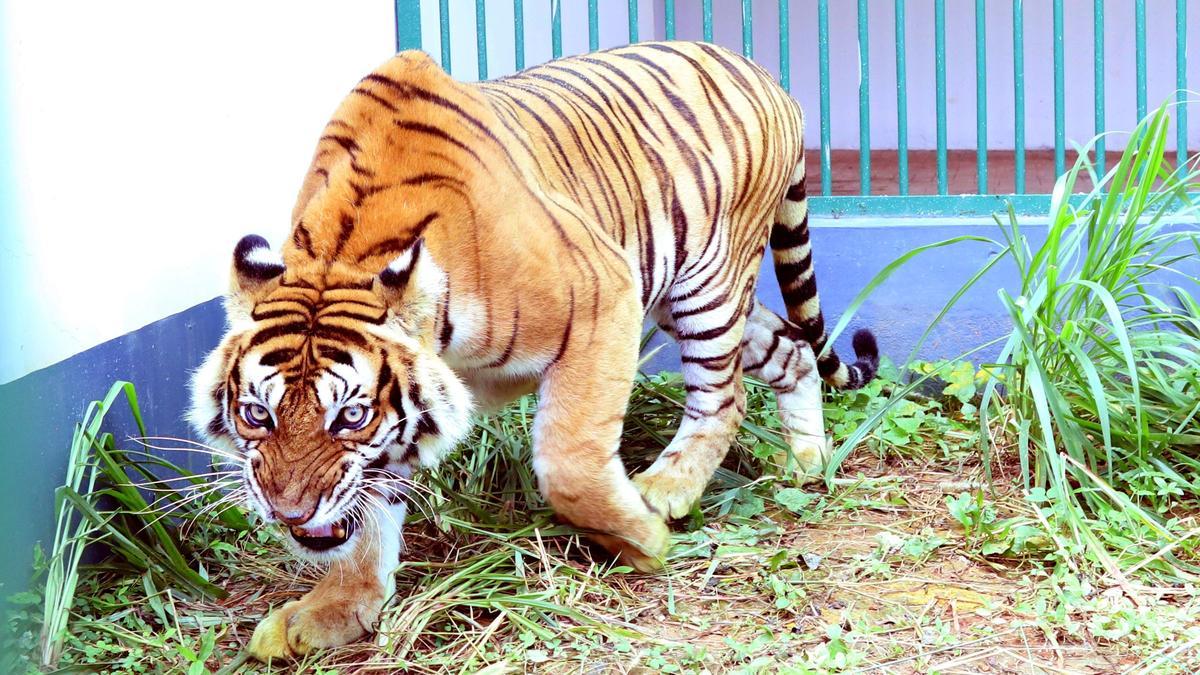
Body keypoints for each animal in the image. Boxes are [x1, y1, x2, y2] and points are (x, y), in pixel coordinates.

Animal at [189, 40, 879, 660]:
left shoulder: (603, 297)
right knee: (793, 351)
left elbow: (570, 464)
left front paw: (643, 539)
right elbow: (368, 515)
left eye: (350, 416)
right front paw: (336, 609)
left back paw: (668, 487)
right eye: (257, 414)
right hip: (693, 296)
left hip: (706, 285)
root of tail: (766, 75)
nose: (288, 513)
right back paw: (808, 461)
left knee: (725, 396)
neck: (343, 254)